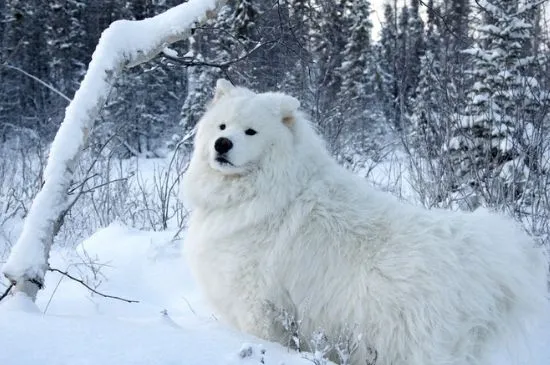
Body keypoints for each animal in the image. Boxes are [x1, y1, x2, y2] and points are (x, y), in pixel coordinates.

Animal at [183, 80, 548, 364]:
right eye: (221, 126)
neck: (266, 190)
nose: (222, 144)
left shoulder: (257, 303)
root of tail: (478, 254)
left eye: (251, 131)